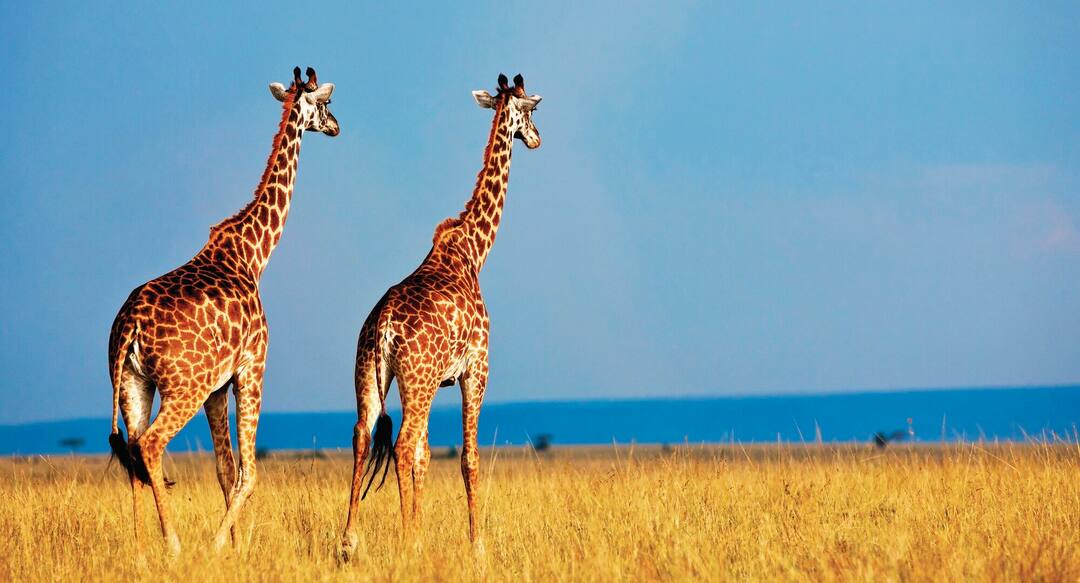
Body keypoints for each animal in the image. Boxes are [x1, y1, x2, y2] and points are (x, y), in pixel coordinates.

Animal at [107, 67, 339, 556]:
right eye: (326, 103)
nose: (336, 127)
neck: (253, 254)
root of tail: (129, 327)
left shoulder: (218, 385)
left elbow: (225, 471)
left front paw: (232, 546)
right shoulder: (253, 365)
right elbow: (248, 474)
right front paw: (220, 546)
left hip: (133, 385)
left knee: (132, 454)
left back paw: (140, 550)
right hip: (183, 387)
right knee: (151, 445)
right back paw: (174, 545)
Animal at [340, 73, 541, 559]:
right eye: (533, 110)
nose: (537, 139)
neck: (473, 251)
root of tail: (384, 325)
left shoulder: (439, 381)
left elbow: (427, 457)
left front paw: (422, 530)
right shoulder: (476, 369)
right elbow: (467, 457)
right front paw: (476, 544)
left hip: (371, 372)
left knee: (364, 435)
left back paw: (349, 541)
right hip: (417, 378)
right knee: (402, 443)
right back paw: (403, 541)